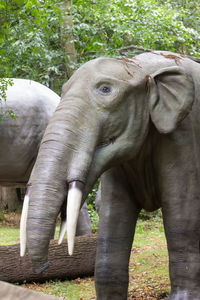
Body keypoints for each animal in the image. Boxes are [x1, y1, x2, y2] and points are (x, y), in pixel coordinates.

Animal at [20, 52, 200, 300]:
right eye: (64, 90)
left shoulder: (183, 134)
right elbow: (113, 213)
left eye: (105, 89)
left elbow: (183, 209)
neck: (139, 65)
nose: (44, 268)